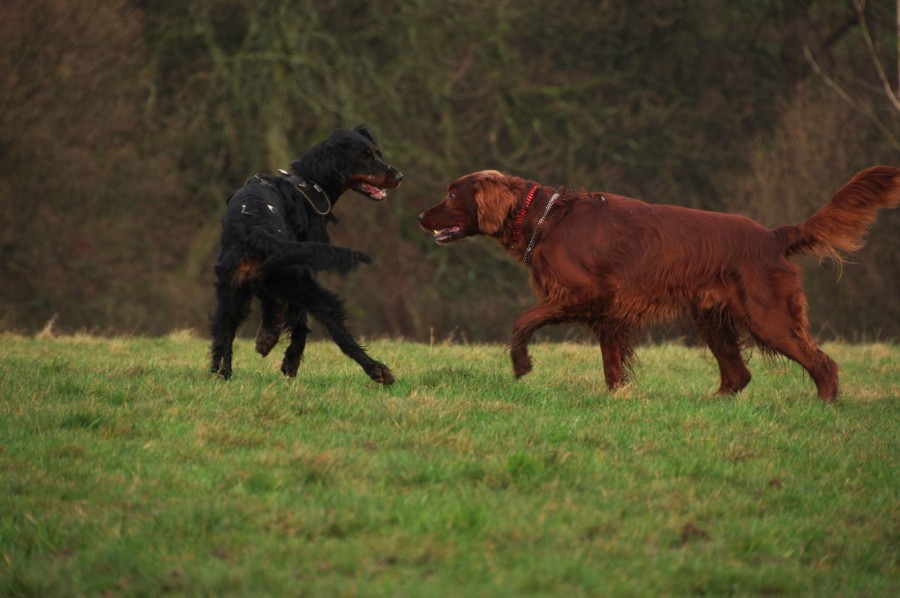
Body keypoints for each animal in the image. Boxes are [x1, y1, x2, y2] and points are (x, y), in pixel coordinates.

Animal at [211, 125, 402, 384]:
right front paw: (287, 359)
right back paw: (376, 370)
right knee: (331, 325)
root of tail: (254, 228)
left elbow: (271, 309)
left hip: (231, 291)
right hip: (301, 281)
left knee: (223, 334)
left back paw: (221, 376)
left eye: (377, 153)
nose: (399, 176)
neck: (308, 186)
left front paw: (266, 339)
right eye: (364, 156)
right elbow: (298, 319)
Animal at [418, 166, 899, 400]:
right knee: (738, 375)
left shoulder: (583, 295)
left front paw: (521, 365)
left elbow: (521, 320)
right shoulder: (608, 317)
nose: (420, 216)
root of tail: (773, 235)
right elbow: (612, 367)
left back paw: (825, 404)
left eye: (451, 194)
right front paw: (619, 399)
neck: (544, 219)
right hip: (713, 320)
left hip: (769, 318)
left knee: (823, 363)